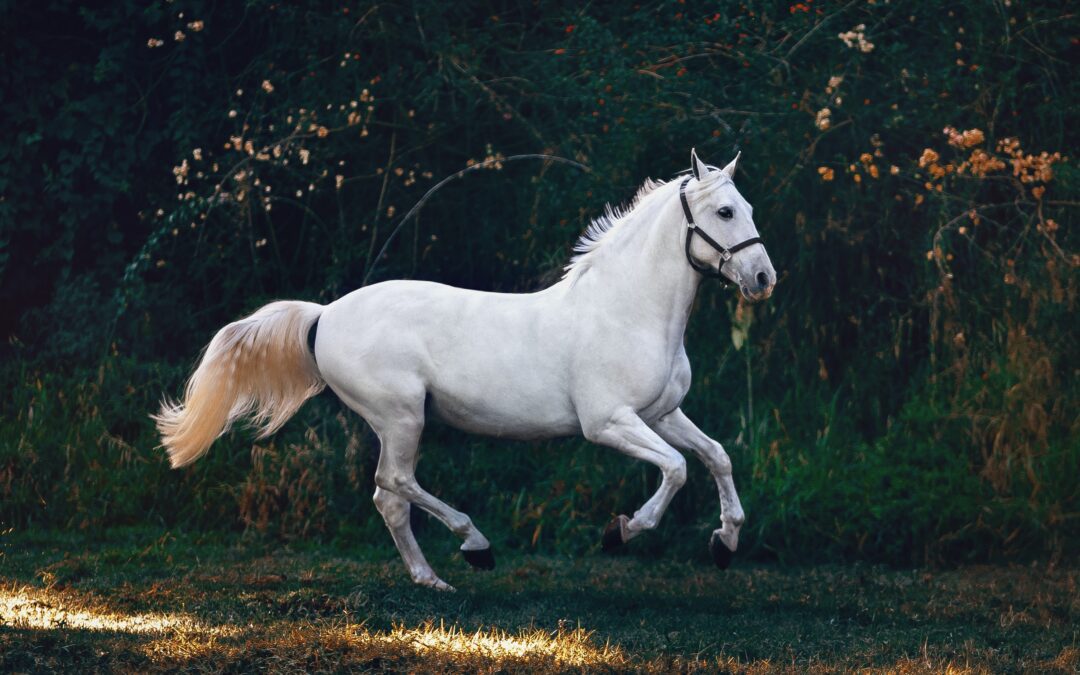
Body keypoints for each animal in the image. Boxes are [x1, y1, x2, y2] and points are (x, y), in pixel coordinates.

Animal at [154, 149, 776, 591]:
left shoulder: (663, 413)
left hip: (399, 422)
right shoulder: (609, 423)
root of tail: (325, 314)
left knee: (388, 498)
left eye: (749, 209)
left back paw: (432, 579)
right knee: (395, 484)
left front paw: (725, 543)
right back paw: (474, 546)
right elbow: (676, 469)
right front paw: (621, 532)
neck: (627, 310)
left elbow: (716, 456)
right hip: (401, 416)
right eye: (725, 211)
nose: (763, 278)